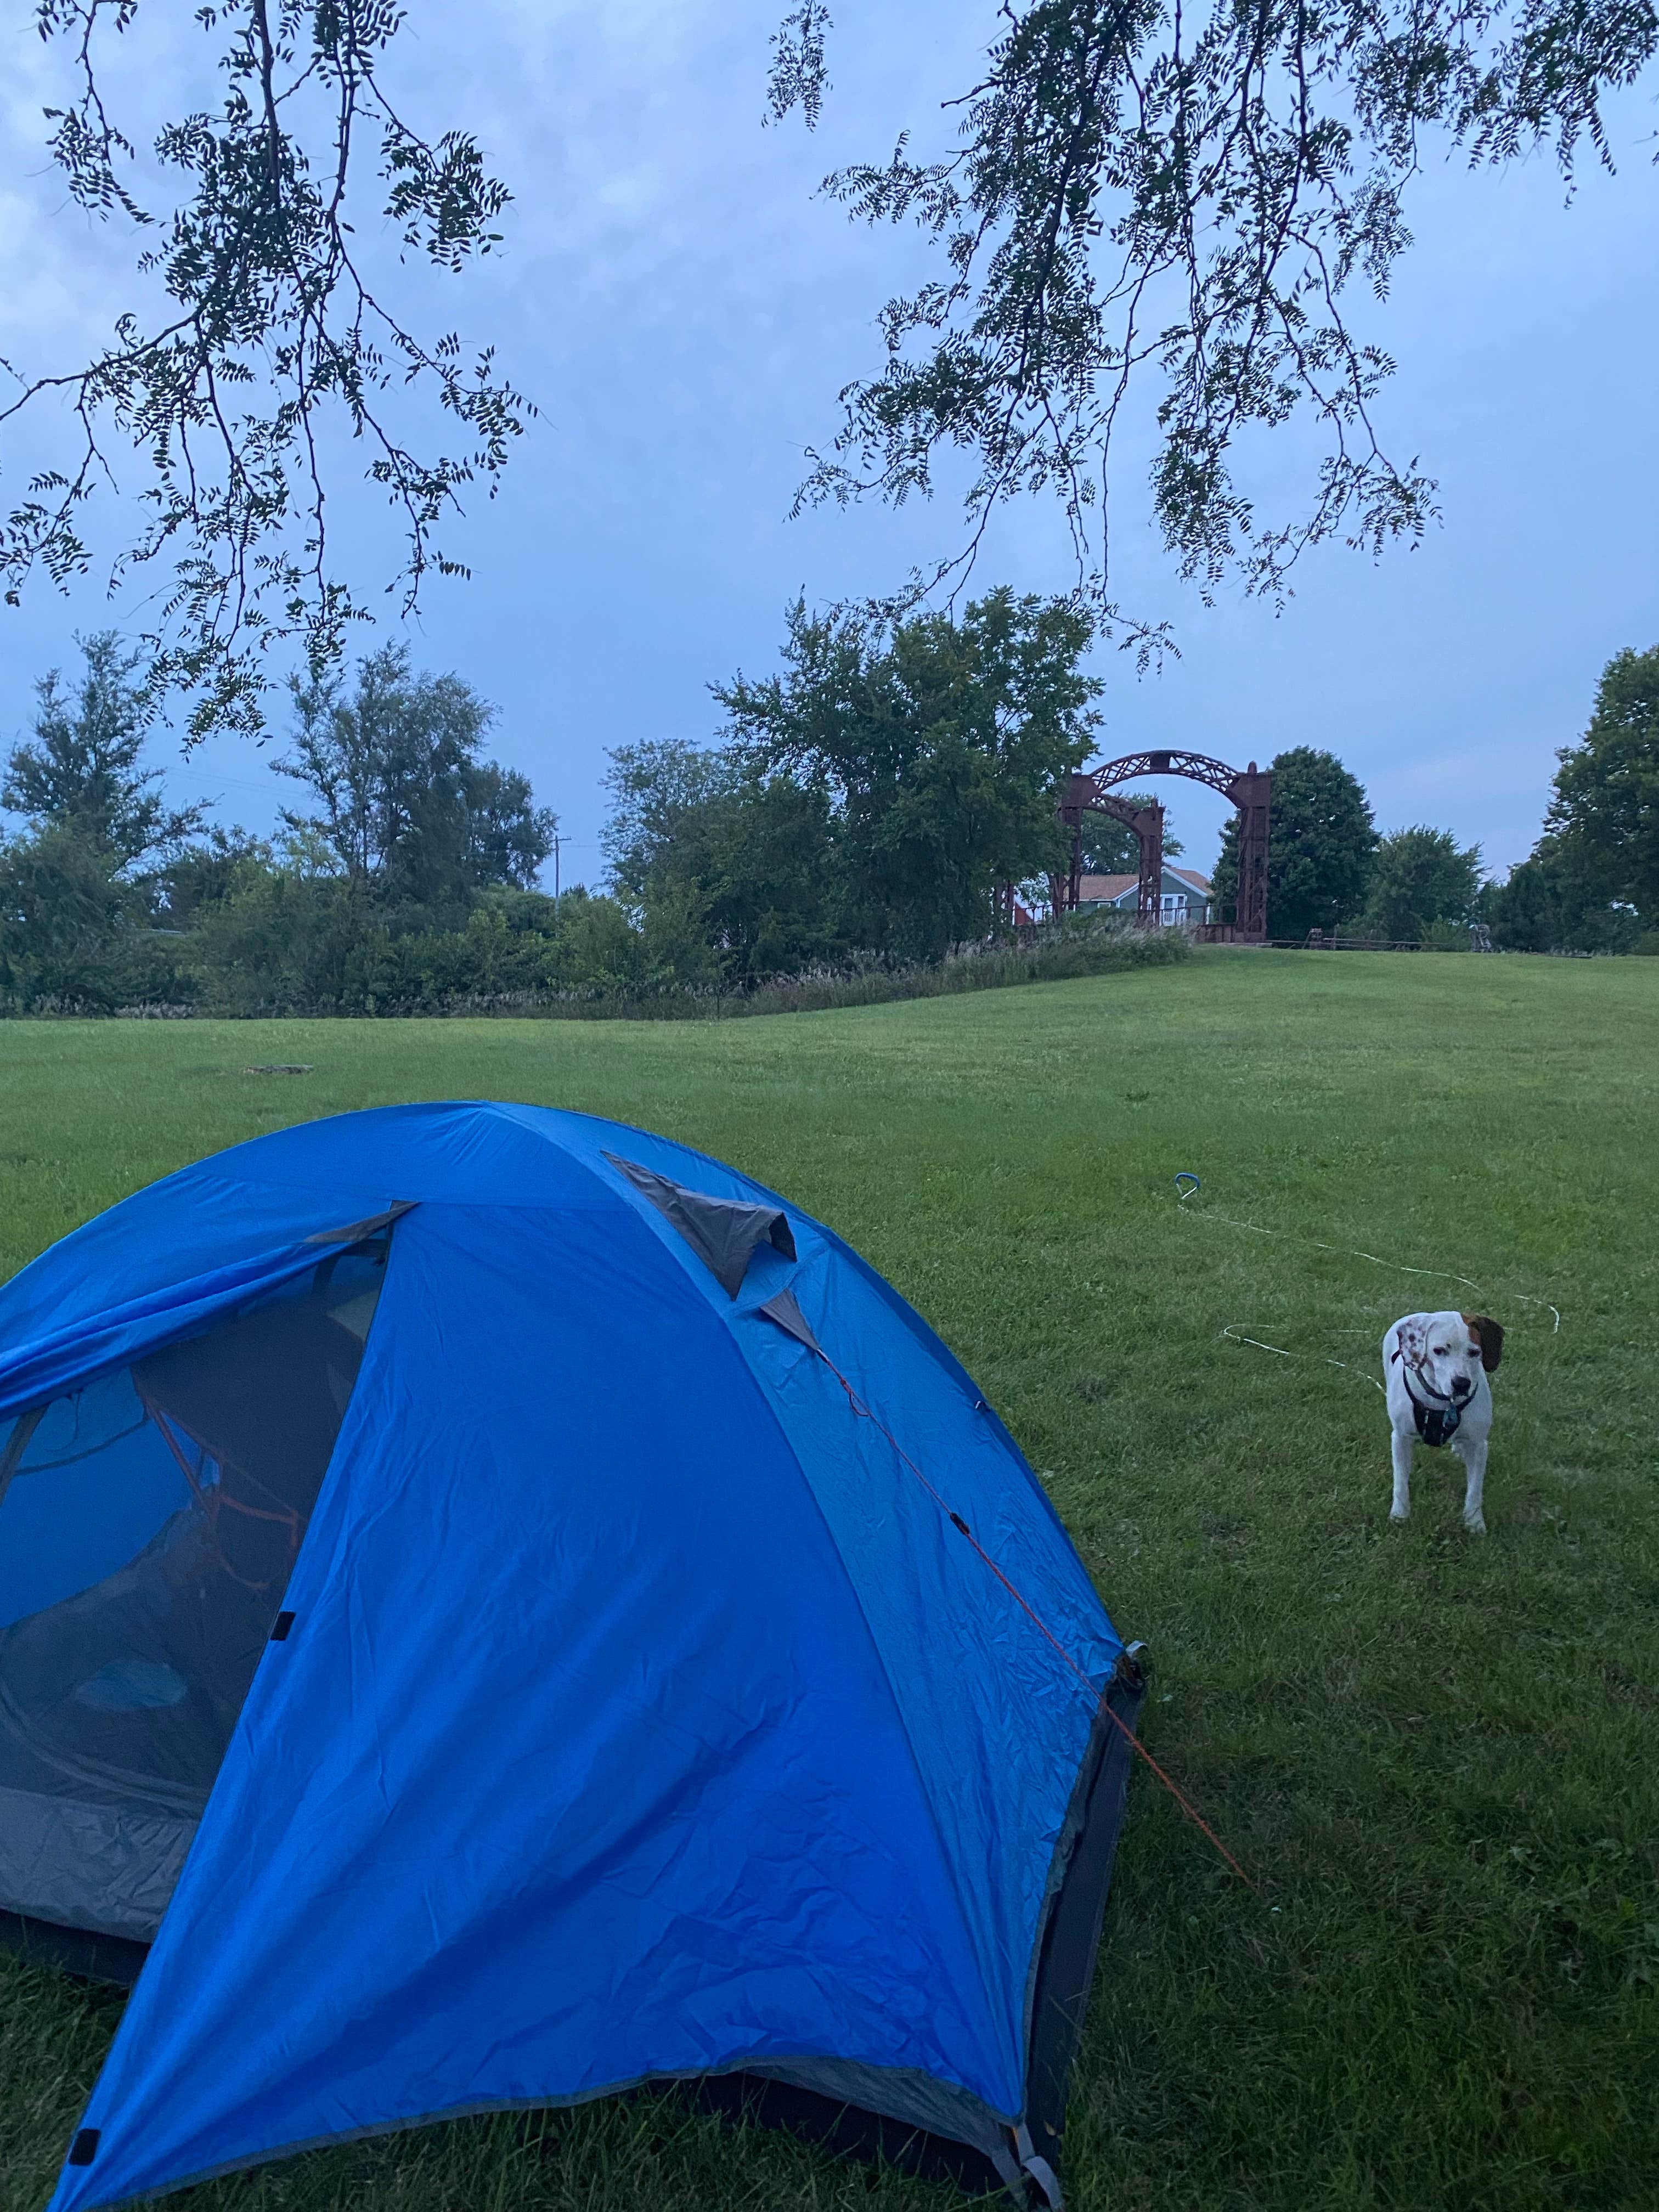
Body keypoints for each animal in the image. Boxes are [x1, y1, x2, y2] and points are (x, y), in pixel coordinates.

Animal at [1389, 1300, 1504, 1531]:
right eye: (1439, 1351)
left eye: (1475, 1352)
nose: (1461, 1383)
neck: (1443, 1403)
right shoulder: (1401, 1438)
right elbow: (1400, 1482)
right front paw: (1400, 1514)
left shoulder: (1478, 1445)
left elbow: (1475, 1489)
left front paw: (1474, 1521)